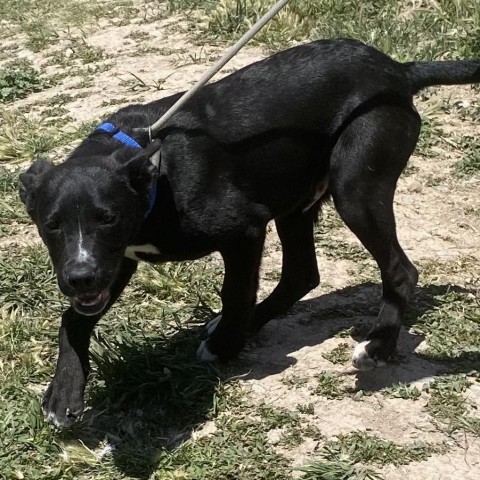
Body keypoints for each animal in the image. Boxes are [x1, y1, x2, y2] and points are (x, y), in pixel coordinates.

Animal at [19, 39, 480, 426]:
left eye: (109, 218)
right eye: (51, 225)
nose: (79, 278)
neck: (152, 171)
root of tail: (397, 71)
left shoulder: (243, 229)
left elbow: (236, 292)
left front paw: (226, 347)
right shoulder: (114, 261)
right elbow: (73, 317)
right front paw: (64, 390)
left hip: (355, 186)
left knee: (399, 269)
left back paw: (377, 345)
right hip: (297, 199)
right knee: (302, 273)